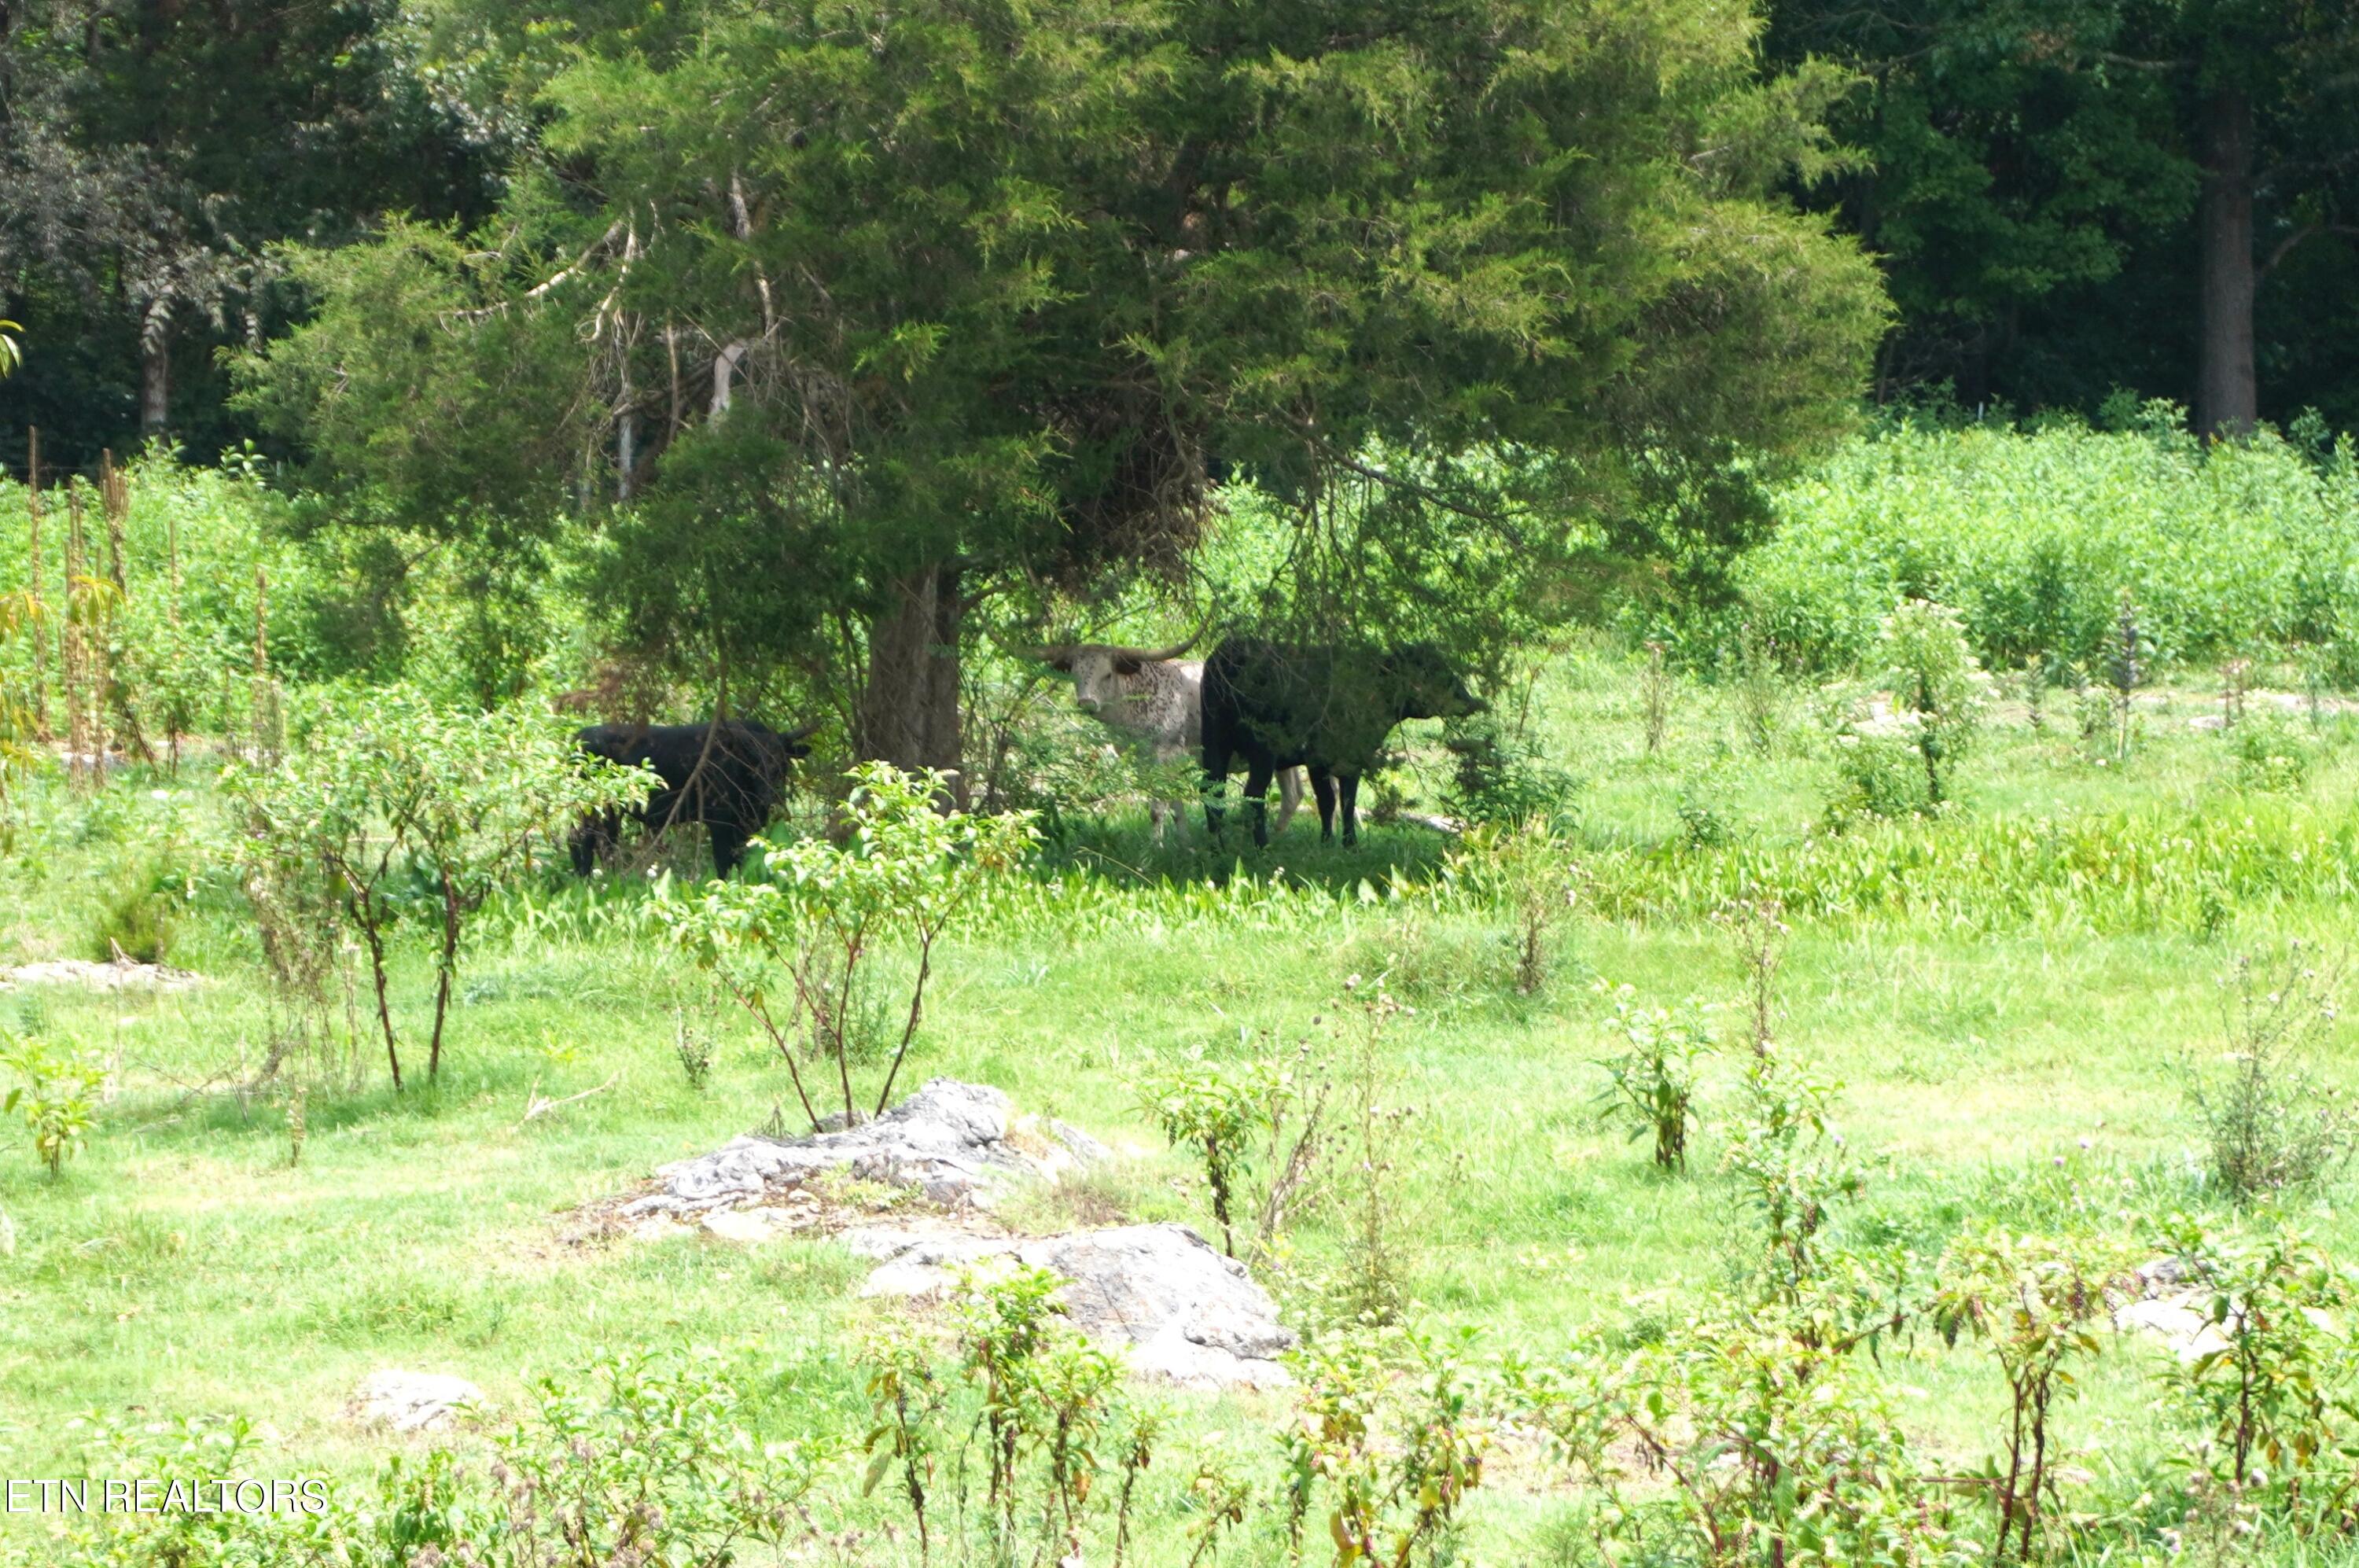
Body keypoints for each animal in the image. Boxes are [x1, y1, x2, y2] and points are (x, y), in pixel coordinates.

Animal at [566, 716, 816, 872]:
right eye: (754, 762)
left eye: (783, 761)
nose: (771, 795)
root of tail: (577, 738)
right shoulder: (719, 823)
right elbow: (723, 863)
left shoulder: (744, 827)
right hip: (594, 808)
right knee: (584, 840)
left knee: (602, 842)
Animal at [1038, 636, 1312, 839]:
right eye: (1074, 674)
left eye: (1107, 674)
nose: (1087, 703)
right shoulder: (1146, 761)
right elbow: (1175, 805)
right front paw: (1185, 844)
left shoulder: (1165, 754)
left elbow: (1158, 808)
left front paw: (1154, 849)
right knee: (1293, 795)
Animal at [1208, 636, 1481, 844]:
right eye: (1432, 672)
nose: (1470, 701)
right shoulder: (1338, 757)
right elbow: (1345, 802)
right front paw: (1350, 844)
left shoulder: (1325, 761)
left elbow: (1328, 802)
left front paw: (1327, 842)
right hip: (1262, 749)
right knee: (1253, 794)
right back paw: (1261, 845)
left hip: (1215, 740)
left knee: (1213, 792)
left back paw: (1216, 846)